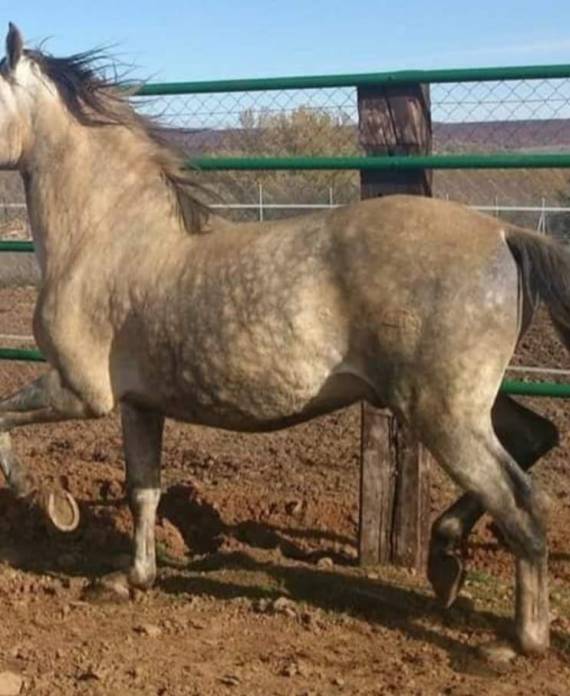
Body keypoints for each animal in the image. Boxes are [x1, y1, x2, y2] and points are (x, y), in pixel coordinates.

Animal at [0, 23, 567, 655]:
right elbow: (142, 490)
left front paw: (46, 501)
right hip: (465, 403)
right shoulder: (139, 405)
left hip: (441, 413)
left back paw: (516, 641)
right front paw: (129, 579)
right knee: (537, 438)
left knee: (522, 504)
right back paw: (445, 561)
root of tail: (505, 233)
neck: (109, 236)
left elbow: (2, 421)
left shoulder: (80, 392)